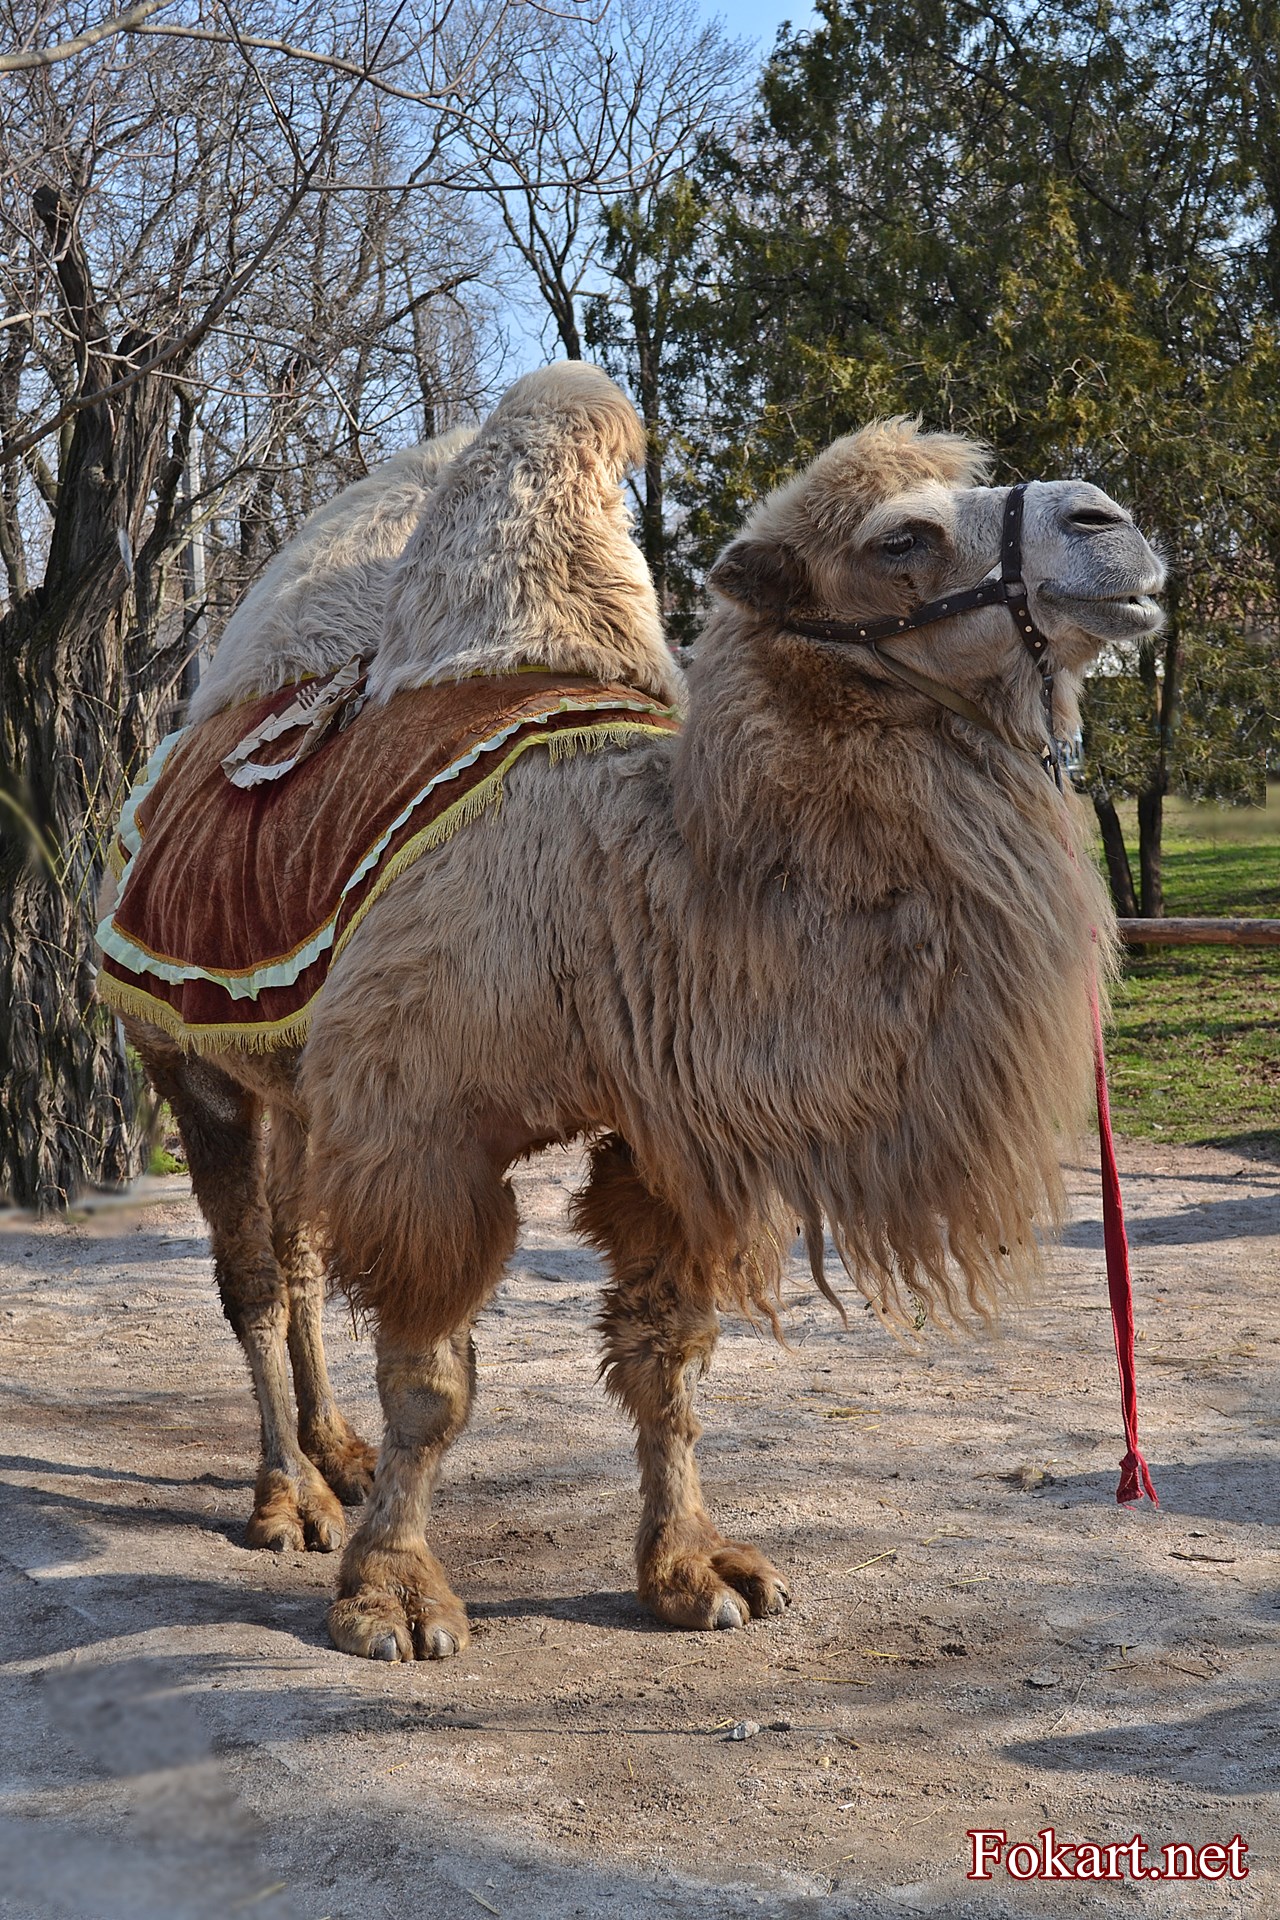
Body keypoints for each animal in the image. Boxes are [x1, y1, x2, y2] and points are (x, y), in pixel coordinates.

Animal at [108, 362, 1164, 1661]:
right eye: (899, 539)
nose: (1110, 525)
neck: (633, 880)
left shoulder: (667, 1133)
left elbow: (669, 1359)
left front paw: (692, 1569)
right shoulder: (422, 1121)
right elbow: (433, 1381)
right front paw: (393, 1596)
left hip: (301, 1073)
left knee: (300, 1247)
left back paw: (337, 1455)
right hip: (186, 1053)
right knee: (253, 1272)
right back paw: (288, 1499)